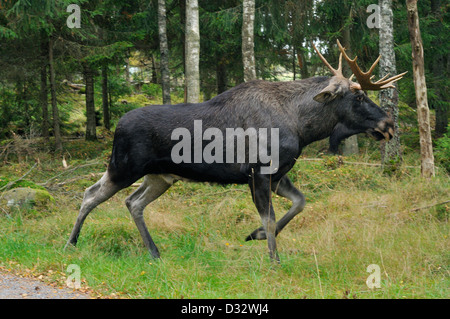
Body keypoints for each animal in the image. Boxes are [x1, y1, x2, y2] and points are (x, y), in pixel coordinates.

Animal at [66, 40, 408, 262]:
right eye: (359, 97)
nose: (388, 123)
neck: (302, 127)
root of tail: (117, 126)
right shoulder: (259, 172)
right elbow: (270, 218)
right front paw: (273, 260)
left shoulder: (279, 175)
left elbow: (300, 203)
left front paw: (255, 235)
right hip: (123, 167)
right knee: (90, 193)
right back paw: (71, 243)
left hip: (160, 177)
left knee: (133, 202)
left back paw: (154, 251)